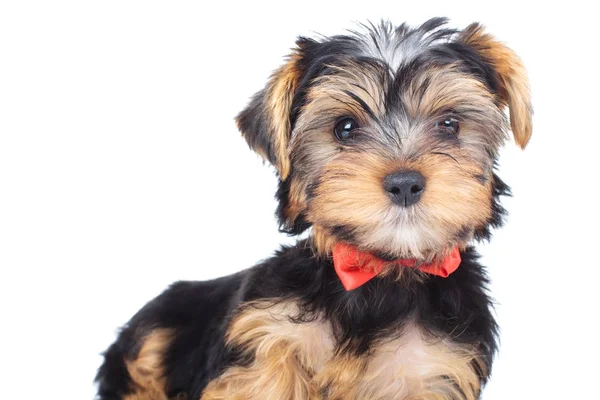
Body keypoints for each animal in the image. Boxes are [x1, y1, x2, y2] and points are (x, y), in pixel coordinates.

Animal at [96, 18, 532, 400]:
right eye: (345, 128)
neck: (378, 276)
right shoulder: (267, 338)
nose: (405, 182)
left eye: (449, 124)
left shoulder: (434, 368)